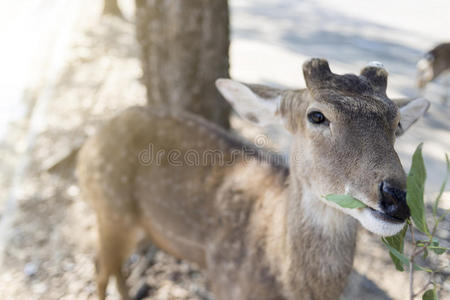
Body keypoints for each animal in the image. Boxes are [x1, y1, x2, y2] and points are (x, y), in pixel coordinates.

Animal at [76, 57, 428, 298]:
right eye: (317, 116)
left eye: (397, 122)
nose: (397, 197)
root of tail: (88, 144)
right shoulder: (224, 283)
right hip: (110, 209)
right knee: (99, 267)